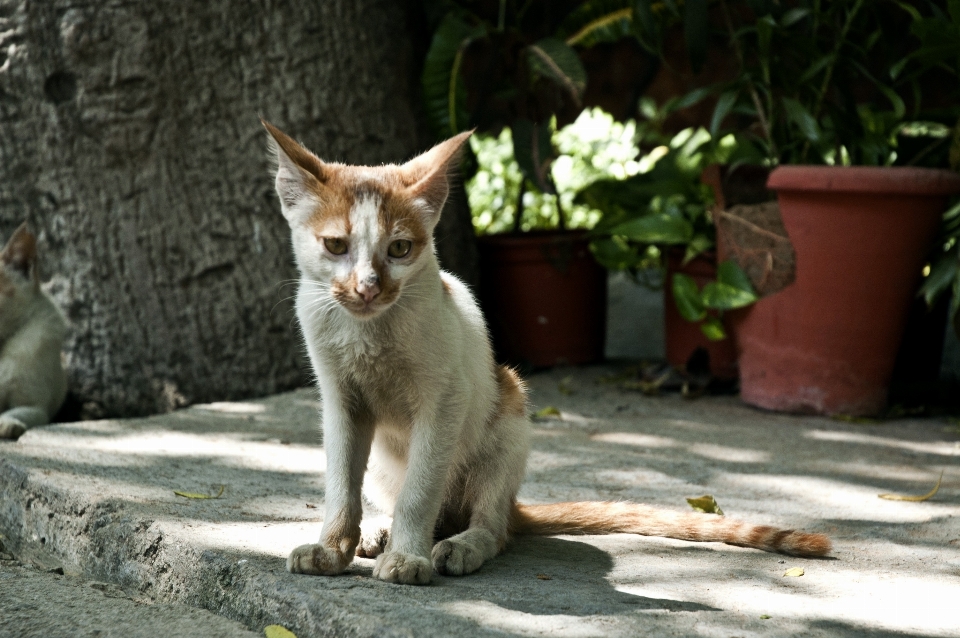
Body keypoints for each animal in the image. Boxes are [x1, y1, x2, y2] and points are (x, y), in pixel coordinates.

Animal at [264, 122, 832, 588]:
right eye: (336, 246)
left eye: (400, 250)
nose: (367, 288)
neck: (370, 332)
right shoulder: (341, 400)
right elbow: (341, 482)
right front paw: (332, 548)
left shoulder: (445, 398)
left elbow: (420, 490)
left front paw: (408, 557)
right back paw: (379, 533)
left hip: (509, 408)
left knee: (491, 524)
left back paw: (459, 545)